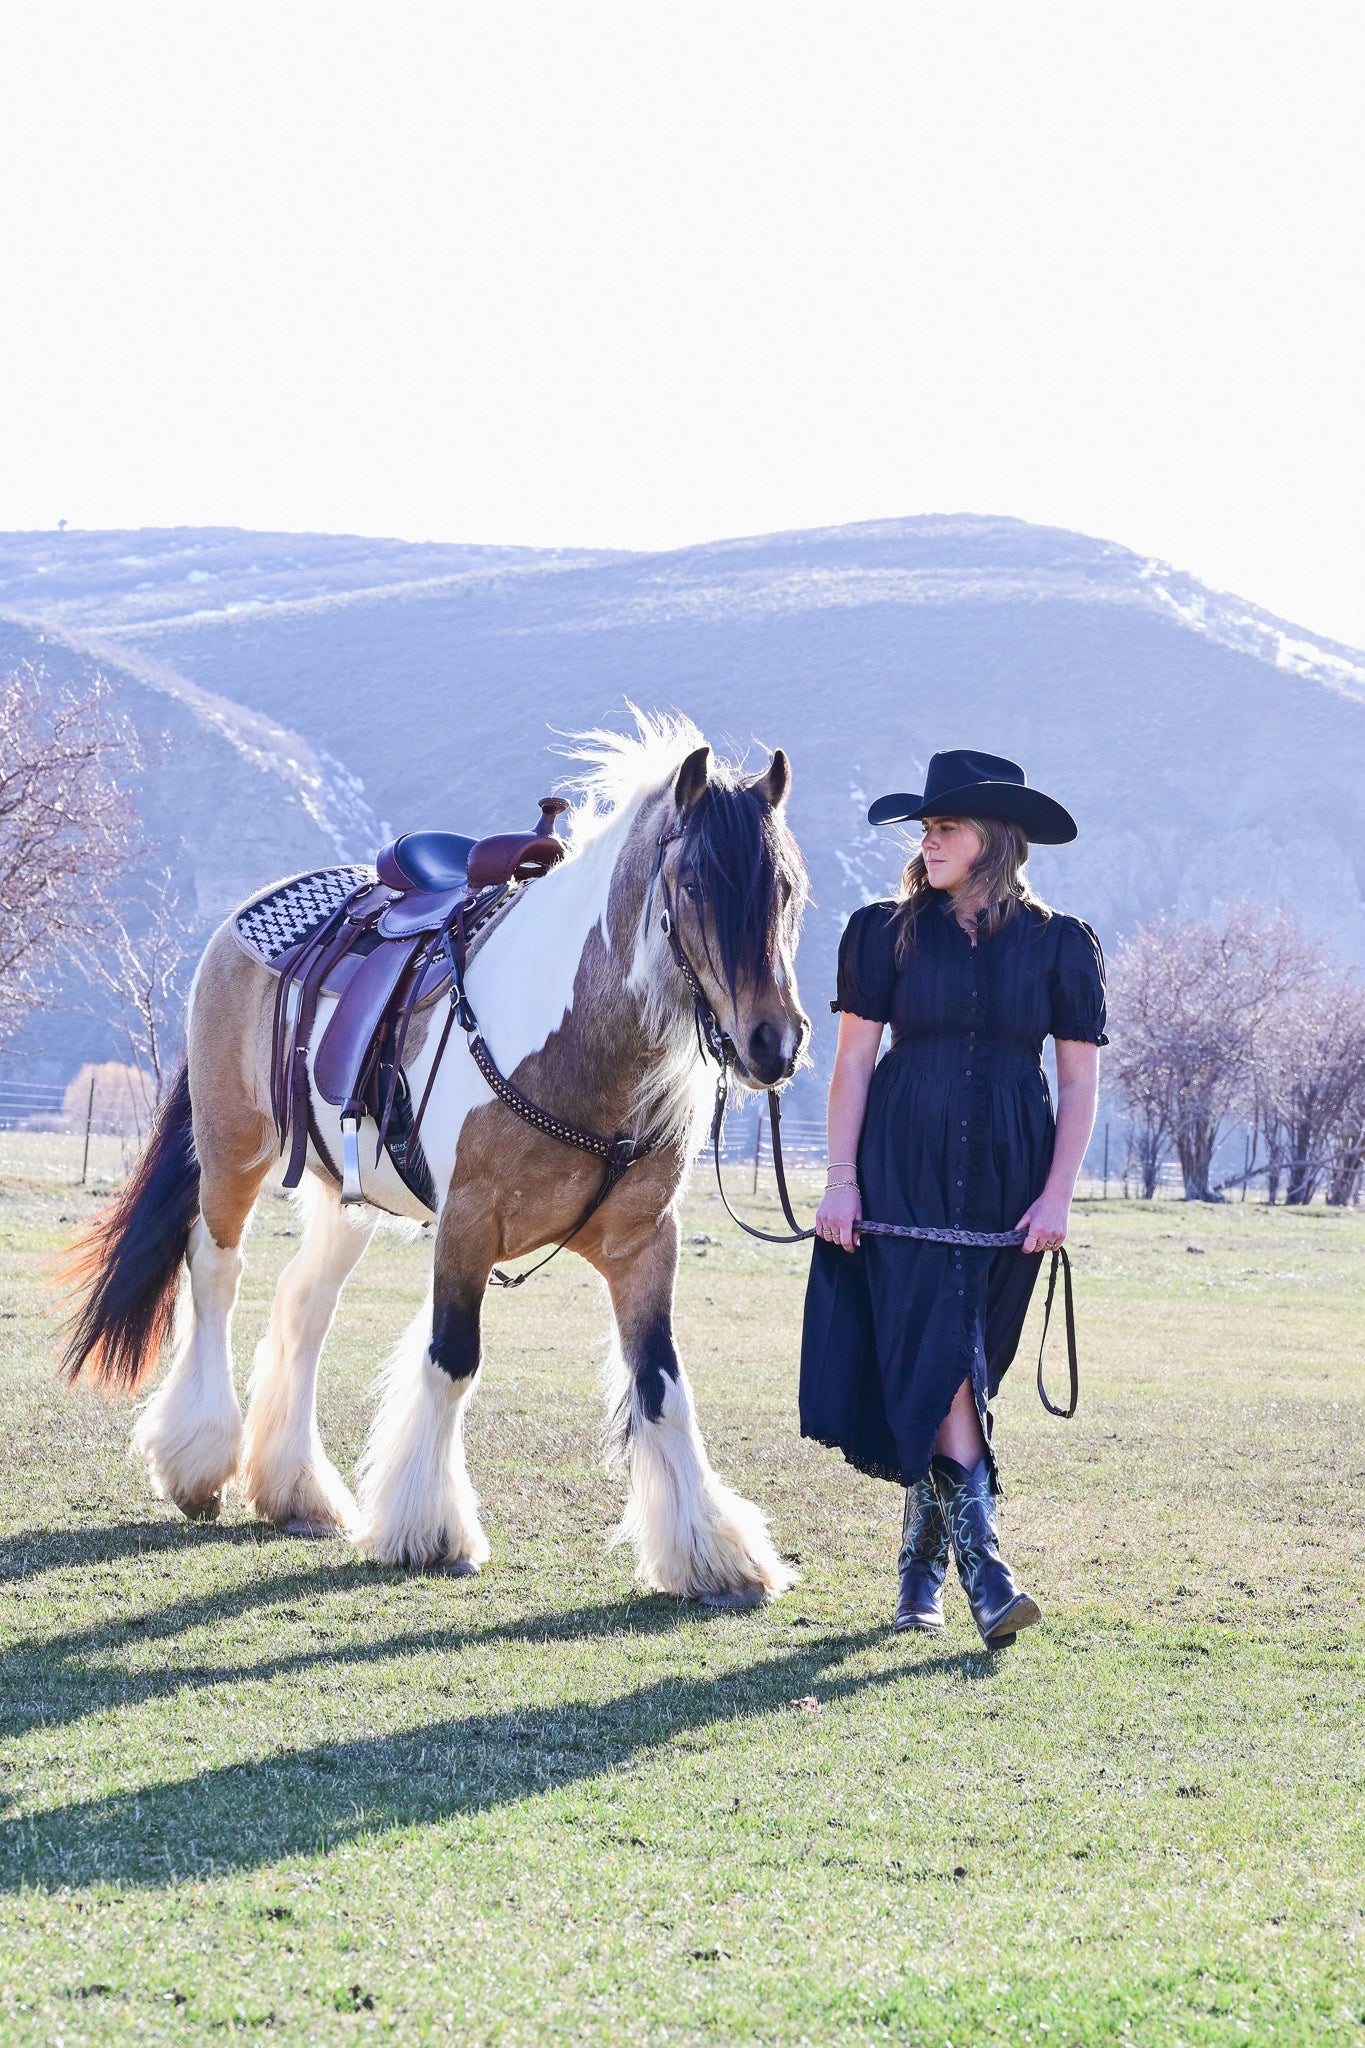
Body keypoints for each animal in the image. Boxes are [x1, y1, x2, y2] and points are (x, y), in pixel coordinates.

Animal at [63, 724, 810, 1613]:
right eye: (693, 882)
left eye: (788, 888)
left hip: (344, 1195)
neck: (577, 1049)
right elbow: (451, 1362)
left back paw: (295, 1488)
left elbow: (661, 1385)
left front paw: (711, 1555)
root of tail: (248, 917)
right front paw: (429, 1531)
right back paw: (201, 1459)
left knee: (303, 1304)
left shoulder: (642, 1244)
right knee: (216, 1275)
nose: (772, 1041)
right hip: (231, 1151)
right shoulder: (466, 1224)